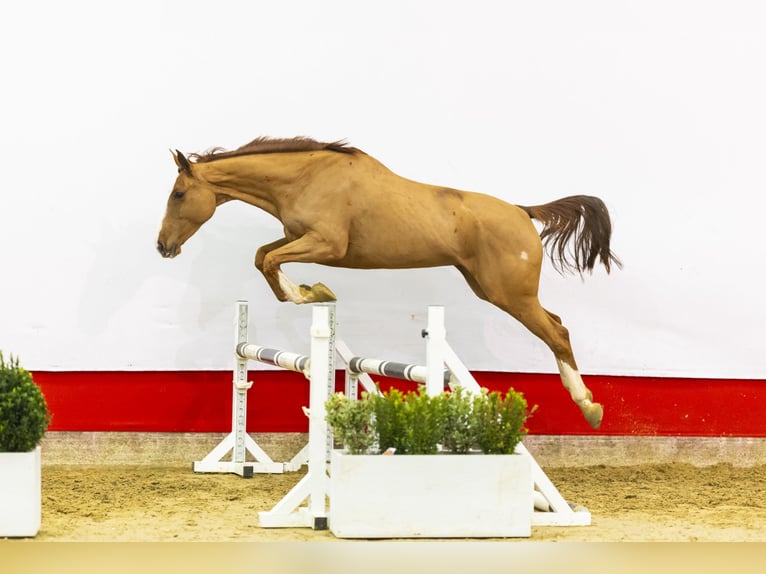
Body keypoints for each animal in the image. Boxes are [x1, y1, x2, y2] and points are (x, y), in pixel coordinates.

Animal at [159, 137, 620, 430]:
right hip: (491, 288)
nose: (163, 246)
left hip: (510, 294)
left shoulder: (327, 244)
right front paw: (312, 292)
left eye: (179, 194)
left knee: (557, 333)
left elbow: (269, 259)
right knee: (556, 323)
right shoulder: (299, 238)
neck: (305, 177)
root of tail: (524, 212)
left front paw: (306, 293)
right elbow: (262, 256)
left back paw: (589, 406)